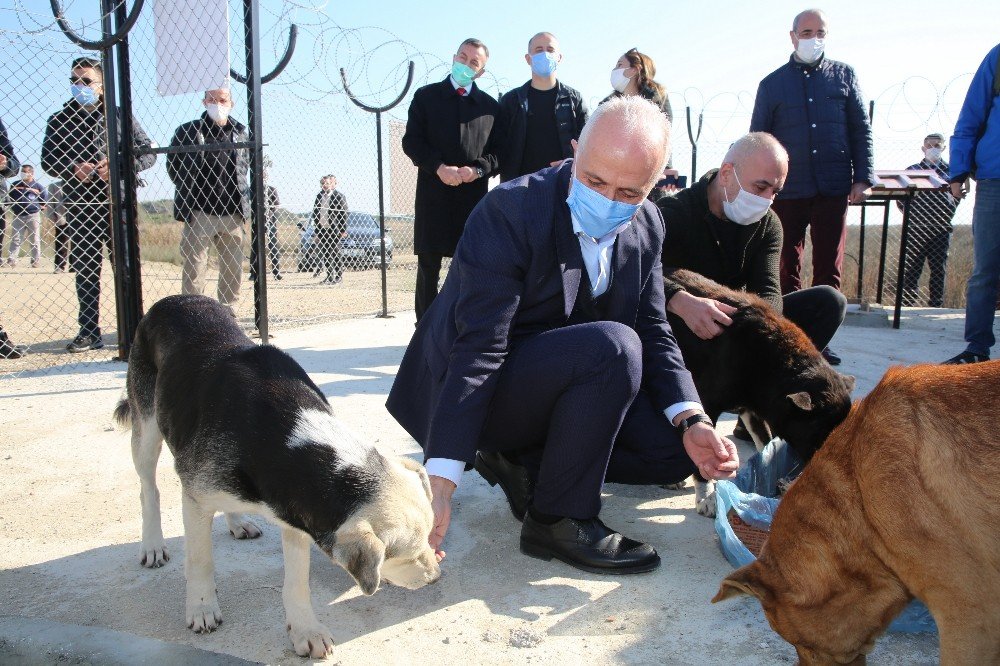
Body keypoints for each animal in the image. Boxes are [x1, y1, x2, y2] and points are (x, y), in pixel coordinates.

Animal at [115, 294, 440, 652]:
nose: (436, 576)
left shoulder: (295, 515)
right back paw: (152, 545)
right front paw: (202, 608)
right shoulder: (197, 501)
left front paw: (305, 630)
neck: (283, 436)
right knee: (149, 489)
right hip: (146, 425)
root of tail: (177, 298)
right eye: (405, 556)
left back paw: (238, 522)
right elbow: (200, 561)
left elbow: (297, 582)